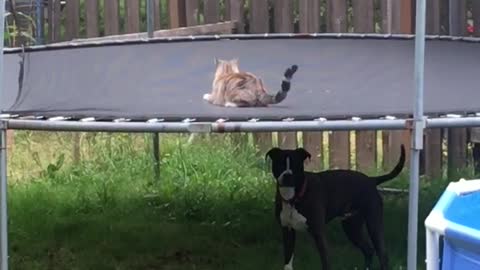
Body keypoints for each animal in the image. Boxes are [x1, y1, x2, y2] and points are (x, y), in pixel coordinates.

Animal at [266, 146, 404, 270]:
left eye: (296, 165)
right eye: (279, 164)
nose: (287, 175)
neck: (293, 198)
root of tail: (371, 180)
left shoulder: (319, 233)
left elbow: (325, 262)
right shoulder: (287, 231)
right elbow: (288, 263)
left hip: (373, 223)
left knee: (382, 254)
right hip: (352, 227)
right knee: (368, 250)